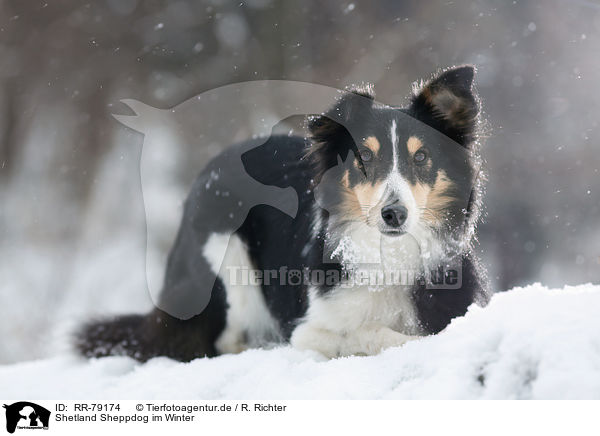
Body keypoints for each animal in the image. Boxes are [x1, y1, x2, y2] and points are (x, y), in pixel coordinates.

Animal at [77, 64, 490, 362]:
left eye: (421, 157)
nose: (394, 214)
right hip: (228, 254)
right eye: (364, 157)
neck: (390, 254)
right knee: (221, 341)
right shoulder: (310, 329)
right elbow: (373, 334)